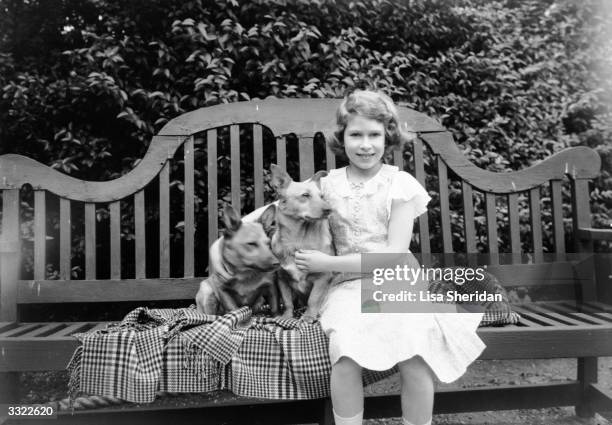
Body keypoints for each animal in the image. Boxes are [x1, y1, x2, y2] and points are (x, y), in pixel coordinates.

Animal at [268, 164, 334, 320]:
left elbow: (313, 299)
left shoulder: (323, 277)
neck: (298, 240)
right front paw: (287, 316)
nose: (329, 209)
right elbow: (287, 301)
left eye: (322, 196)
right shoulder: (282, 278)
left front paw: (308, 316)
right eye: (305, 195)